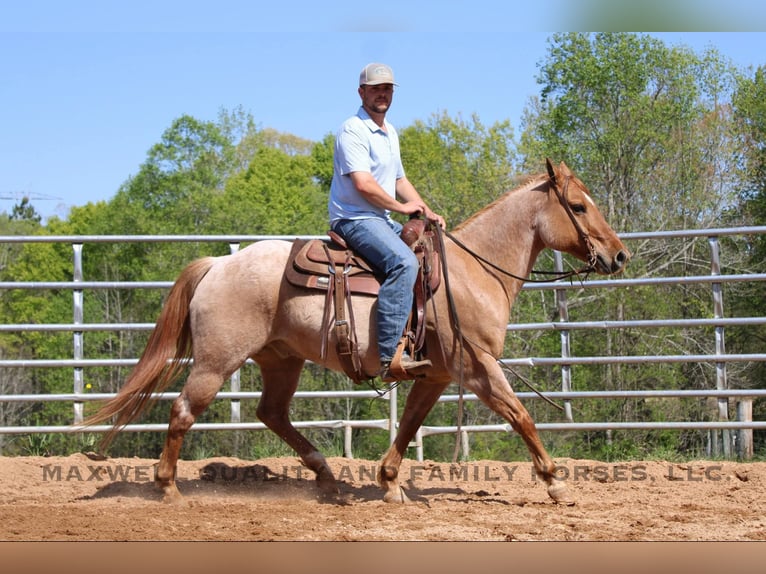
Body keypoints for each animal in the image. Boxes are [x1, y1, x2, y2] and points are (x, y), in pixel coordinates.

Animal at [84, 159, 629, 506]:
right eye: (579, 207)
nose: (620, 255)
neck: (472, 273)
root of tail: (219, 263)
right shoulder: (478, 369)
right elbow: (521, 417)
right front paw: (556, 484)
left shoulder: (434, 376)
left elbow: (408, 426)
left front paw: (389, 484)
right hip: (217, 362)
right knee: (182, 411)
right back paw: (168, 488)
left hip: (282, 360)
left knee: (272, 413)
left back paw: (327, 478)